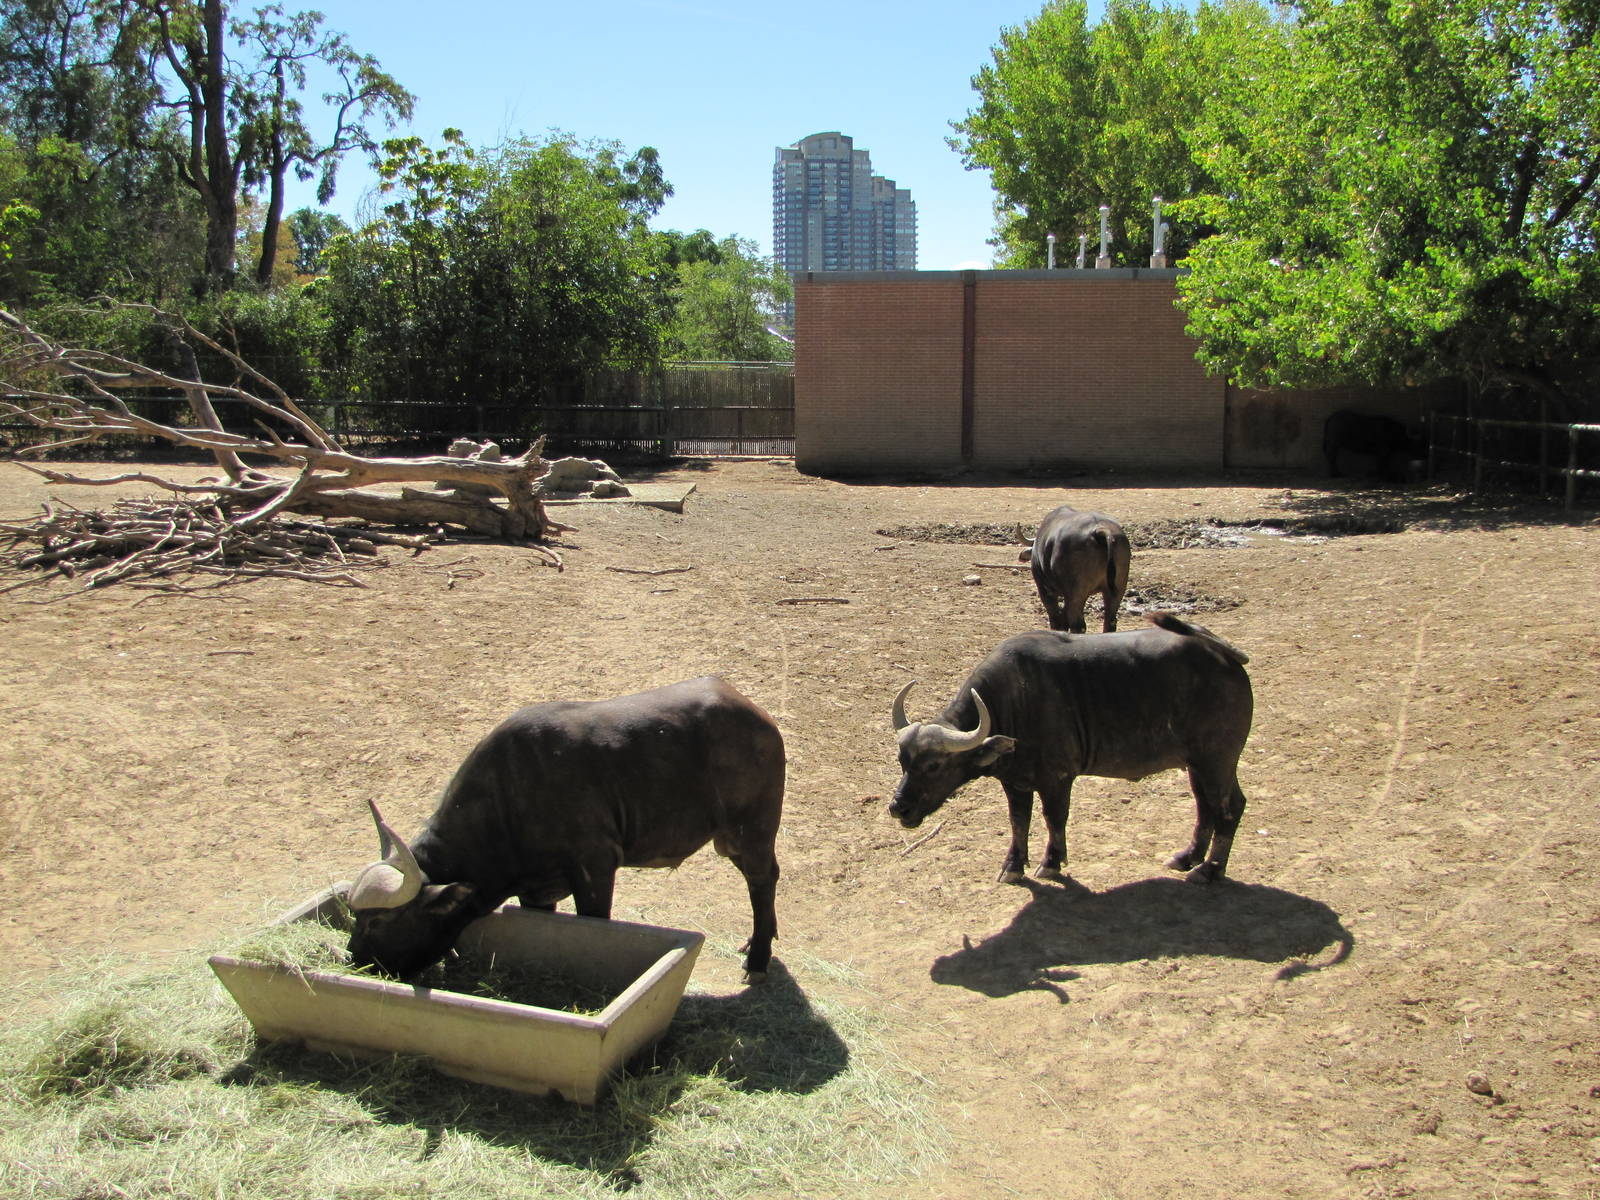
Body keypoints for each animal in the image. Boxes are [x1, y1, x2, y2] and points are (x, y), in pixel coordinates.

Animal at [347, 677, 785, 981]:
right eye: (355, 917)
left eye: (378, 922)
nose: (355, 960)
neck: (507, 799)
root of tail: (757, 716)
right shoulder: (536, 892)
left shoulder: (595, 868)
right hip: (728, 840)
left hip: (753, 830)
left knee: (762, 879)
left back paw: (758, 959)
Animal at [888, 614, 1253, 884]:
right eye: (902, 761)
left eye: (934, 766)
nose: (898, 808)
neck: (1015, 701)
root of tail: (1222, 653)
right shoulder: (1015, 783)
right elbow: (1018, 822)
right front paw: (1013, 866)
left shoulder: (1058, 779)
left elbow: (1054, 819)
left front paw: (1051, 862)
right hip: (1197, 764)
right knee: (1205, 807)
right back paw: (1188, 857)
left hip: (1217, 760)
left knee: (1229, 807)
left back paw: (1210, 869)